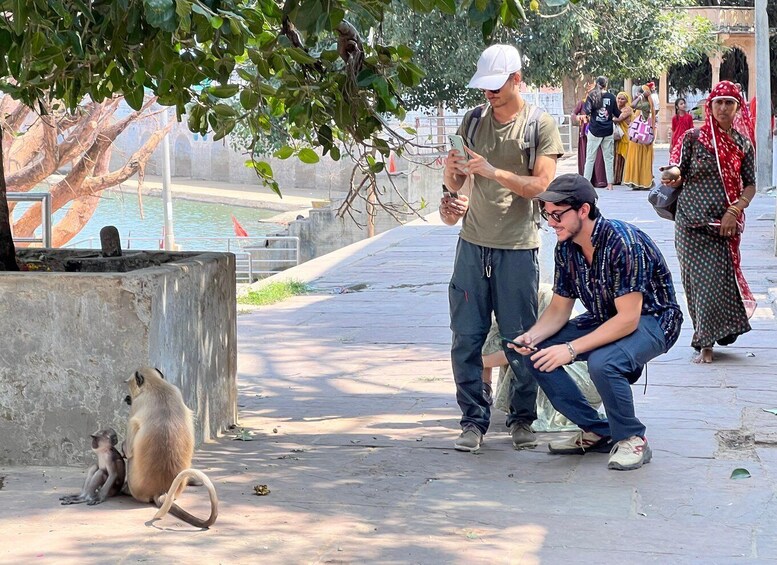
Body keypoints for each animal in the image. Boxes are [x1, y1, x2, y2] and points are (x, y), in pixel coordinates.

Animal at [125, 366, 218, 528]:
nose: (127, 398)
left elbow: (128, 451)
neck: (156, 386)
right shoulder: (176, 390)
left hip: (135, 486)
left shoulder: (137, 404)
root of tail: (161, 490)